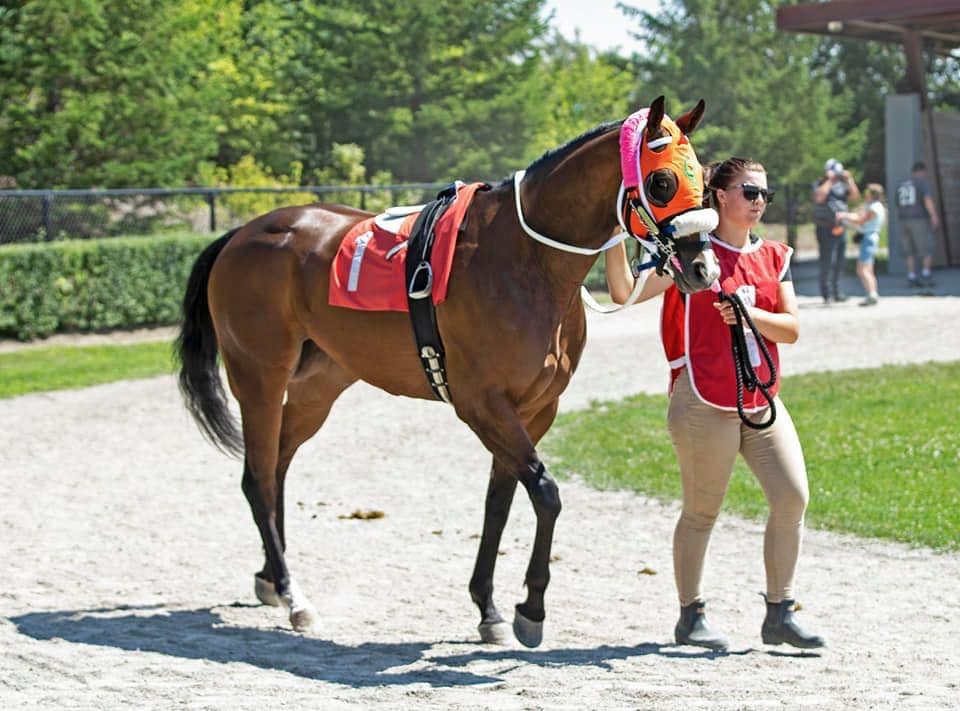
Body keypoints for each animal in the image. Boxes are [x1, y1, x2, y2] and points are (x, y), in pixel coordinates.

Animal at [178, 96, 720, 652]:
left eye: (704, 178)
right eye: (662, 182)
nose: (704, 269)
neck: (525, 259)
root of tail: (241, 234)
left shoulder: (535, 409)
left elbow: (500, 503)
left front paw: (489, 607)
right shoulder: (483, 405)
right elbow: (545, 493)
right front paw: (531, 609)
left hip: (317, 388)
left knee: (277, 467)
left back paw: (270, 576)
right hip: (259, 378)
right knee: (258, 477)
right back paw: (293, 595)